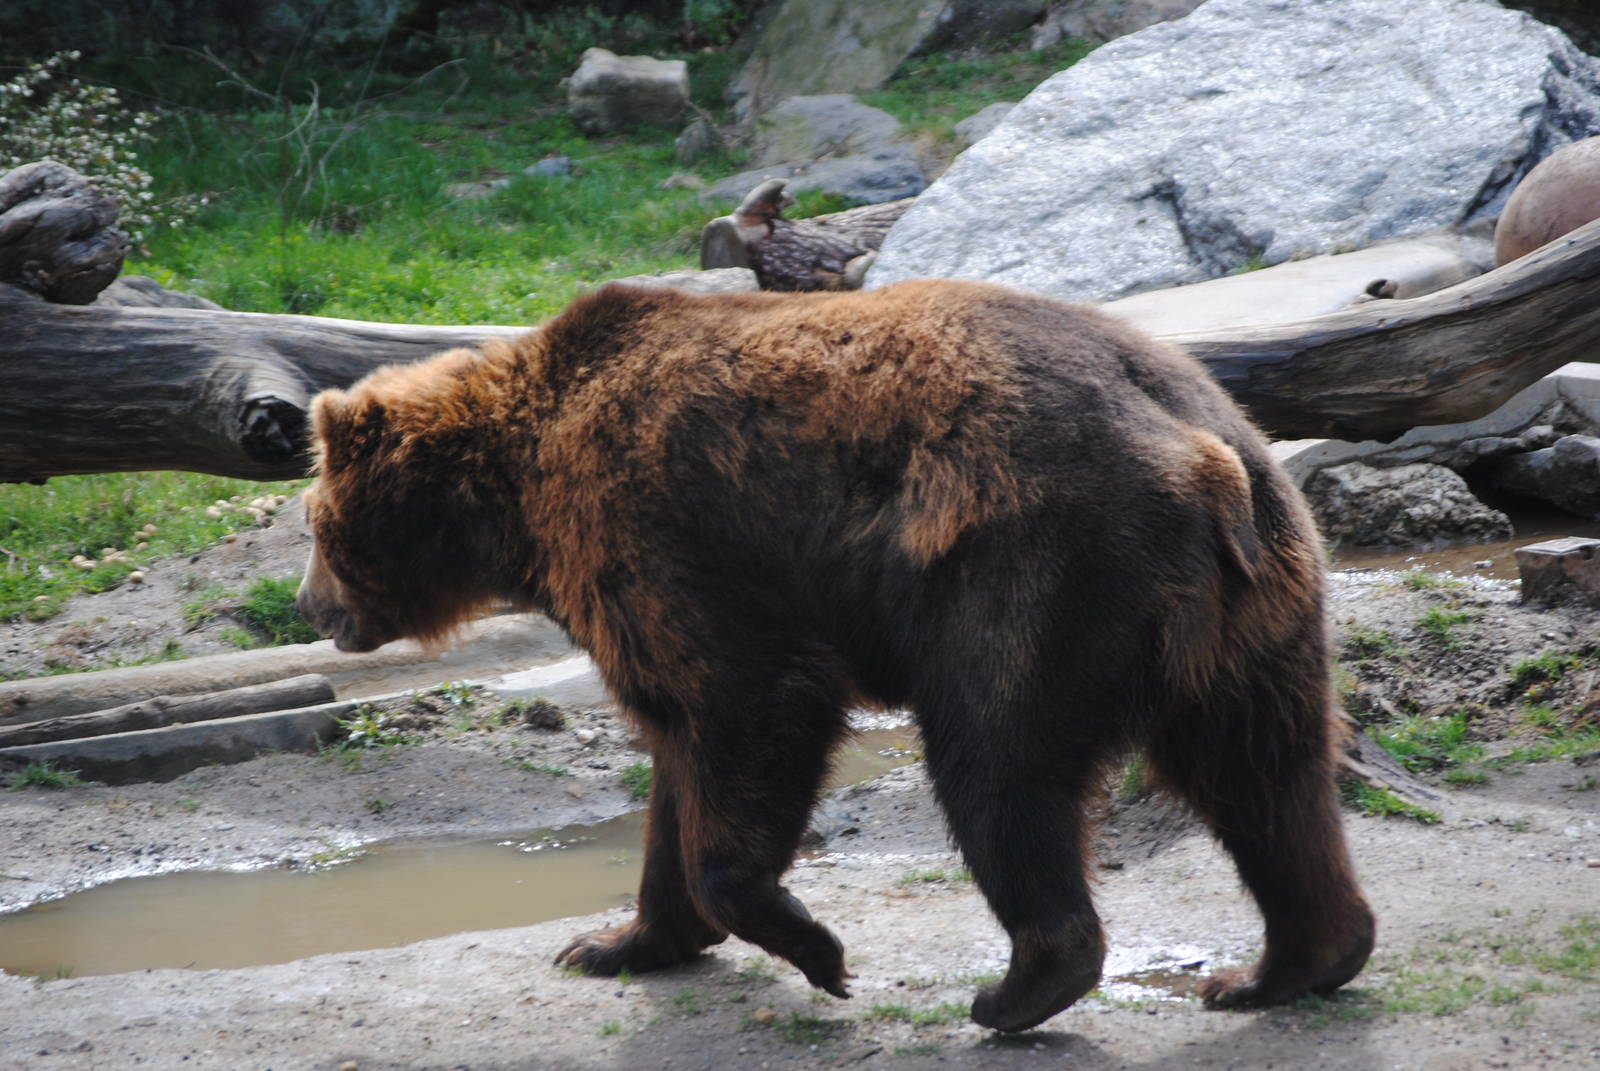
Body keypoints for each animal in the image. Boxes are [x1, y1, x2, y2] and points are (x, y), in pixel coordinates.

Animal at [296, 278, 1375, 1033]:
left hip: (1036, 568)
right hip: (1257, 597)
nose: (311, 607)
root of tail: (1198, 447)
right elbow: (673, 764)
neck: (514, 502)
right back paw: (1287, 963)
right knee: (1262, 772)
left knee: (999, 764)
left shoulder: (666, 535)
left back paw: (1021, 986)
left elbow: (749, 706)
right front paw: (613, 941)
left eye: (312, 519)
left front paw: (815, 949)